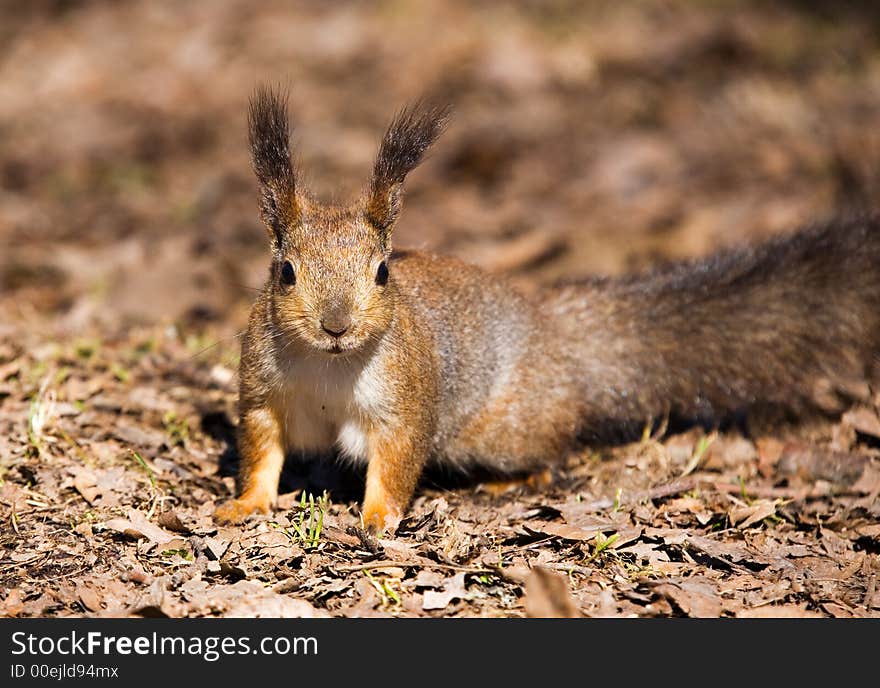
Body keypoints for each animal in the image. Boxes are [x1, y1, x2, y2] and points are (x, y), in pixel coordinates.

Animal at [213, 84, 880, 532]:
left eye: (382, 271)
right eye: (285, 272)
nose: (336, 325)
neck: (329, 366)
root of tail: (553, 332)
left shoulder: (406, 402)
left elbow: (397, 463)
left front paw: (378, 517)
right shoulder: (264, 393)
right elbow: (263, 453)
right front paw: (244, 504)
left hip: (508, 428)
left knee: (554, 448)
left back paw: (518, 477)